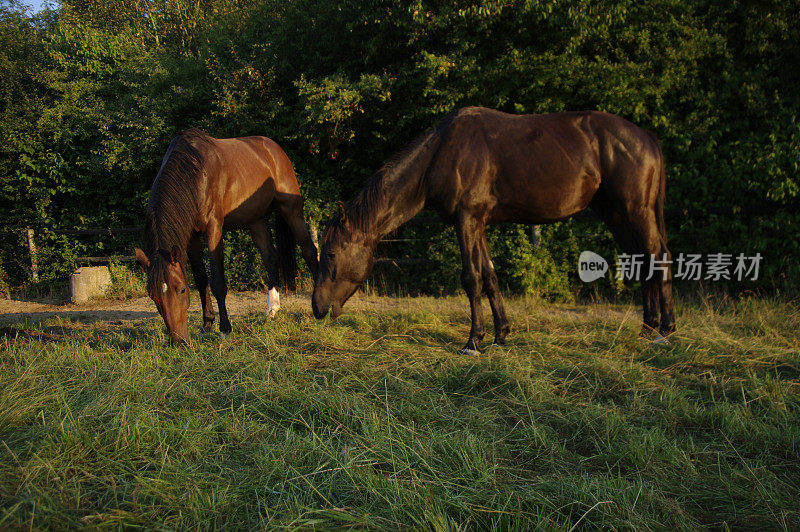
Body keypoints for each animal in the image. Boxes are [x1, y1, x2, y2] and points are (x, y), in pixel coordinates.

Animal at [135, 129, 318, 344]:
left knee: (309, 250)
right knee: (270, 258)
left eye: (181, 289)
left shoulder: (214, 228)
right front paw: (206, 325)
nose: (178, 341)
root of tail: (273, 148)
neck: (195, 173)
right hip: (256, 221)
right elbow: (201, 279)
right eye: (153, 296)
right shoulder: (192, 237)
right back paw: (271, 310)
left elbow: (218, 283)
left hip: (291, 208)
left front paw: (224, 329)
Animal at [312, 107, 676, 354]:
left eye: (330, 253)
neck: (441, 152)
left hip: (635, 212)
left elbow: (472, 278)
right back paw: (647, 329)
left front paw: (473, 341)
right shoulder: (479, 224)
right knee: (643, 261)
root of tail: (646, 138)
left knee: (660, 258)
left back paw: (665, 330)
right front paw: (501, 334)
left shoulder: (467, 220)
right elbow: (489, 275)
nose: (317, 308)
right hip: (617, 215)